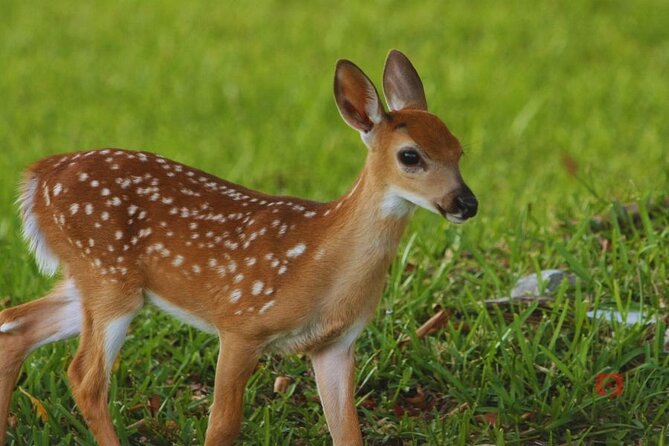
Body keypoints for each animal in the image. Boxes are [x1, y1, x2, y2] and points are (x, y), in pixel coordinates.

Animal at [0, 49, 477, 445]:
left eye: (459, 149)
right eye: (410, 156)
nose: (466, 203)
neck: (321, 262)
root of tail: (38, 177)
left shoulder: (335, 345)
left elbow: (347, 432)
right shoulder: (241, 322)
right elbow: (223, 426)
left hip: (92, 280)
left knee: (17, 325)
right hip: (108, 276)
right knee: (85, 377)